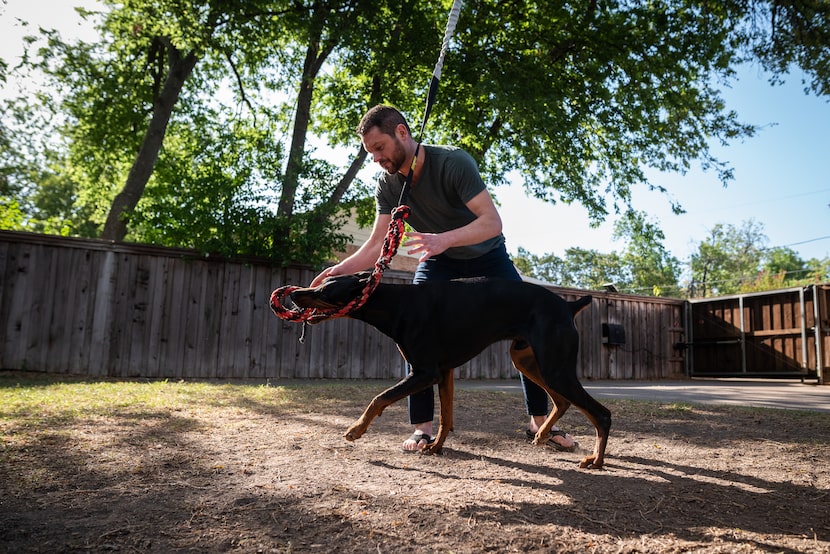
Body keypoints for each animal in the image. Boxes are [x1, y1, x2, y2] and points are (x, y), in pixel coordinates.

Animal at [290, 272, 612, 466]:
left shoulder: (424, 371)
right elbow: (445, 417)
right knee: (562, 401)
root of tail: (568, 306)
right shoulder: (443, 372)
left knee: (601, 413)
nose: (293, 294)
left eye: (325, 290)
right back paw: (544, 434)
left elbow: (379, 398)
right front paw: (434, 447)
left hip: (554, 367)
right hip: (528, 360)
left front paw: (356, 429)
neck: (397, 304)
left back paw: (595, 460)